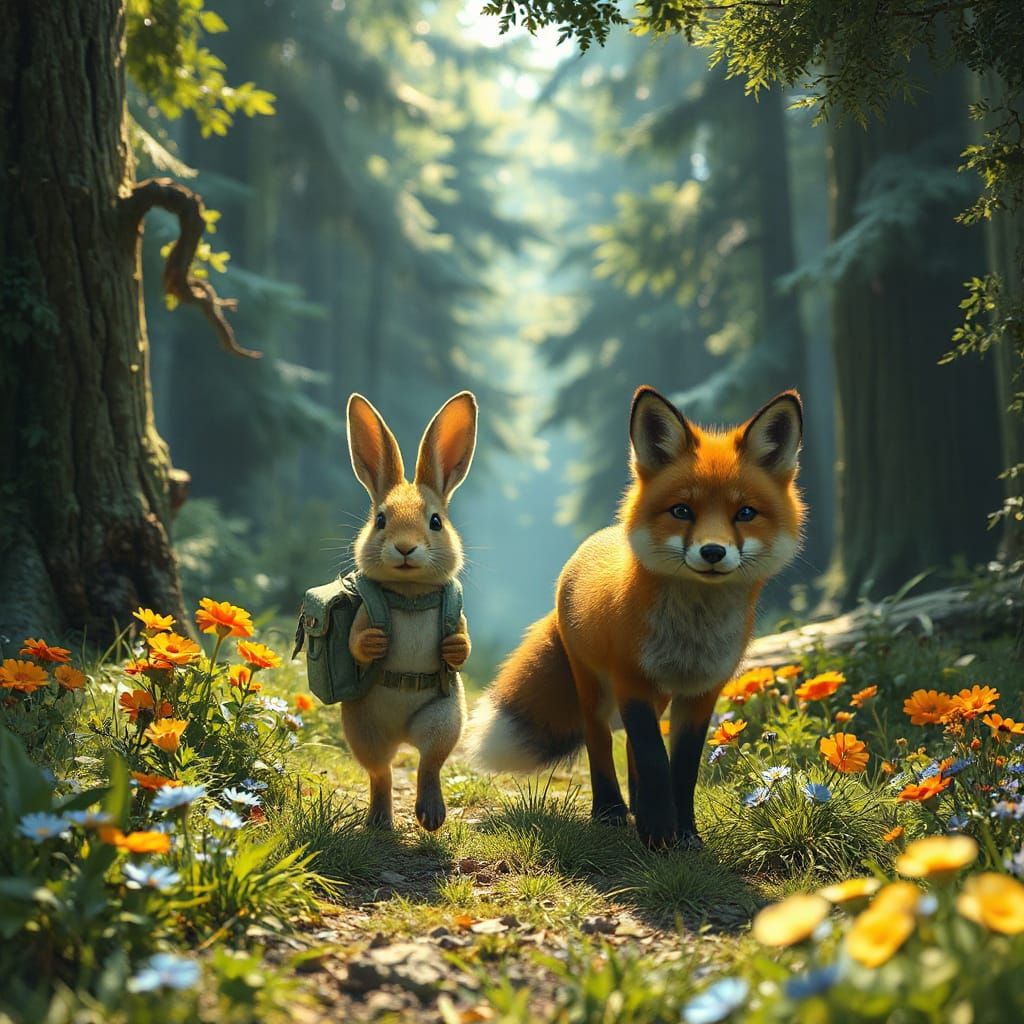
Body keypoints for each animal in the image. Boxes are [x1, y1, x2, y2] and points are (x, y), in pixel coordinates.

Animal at [341, 391, 477, 831]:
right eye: (381, 519)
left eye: (435, 522)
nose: (404, 548)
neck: (410, 593)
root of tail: (401, 733)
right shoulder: (366, 612)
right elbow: (355, 639)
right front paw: (375, 641)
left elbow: (464, 641)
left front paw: (454, 649)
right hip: (364, 730)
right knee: (380, 772)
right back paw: (381, 820)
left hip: (443, 718)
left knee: (428, 763)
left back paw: (430, 813)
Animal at [467, 386, 804, 849]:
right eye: (682, 511)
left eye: (745, 514)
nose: (712, 552)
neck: (691, 636)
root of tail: (591, 544)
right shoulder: (631, 680)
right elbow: (653, 758)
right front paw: (660, 833)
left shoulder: (701, 692)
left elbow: (681, 770)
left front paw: (684, 834)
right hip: (593, 685)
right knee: (600, 740)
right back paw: (609, 810)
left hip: (655, 694)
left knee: (628, 750)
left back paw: (638, 810)